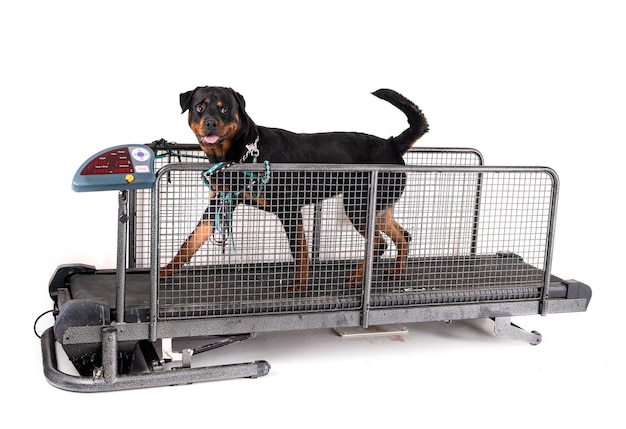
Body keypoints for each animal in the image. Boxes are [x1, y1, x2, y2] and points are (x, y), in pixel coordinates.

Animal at [158, 86, 426, 290]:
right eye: (199, 107)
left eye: (225, 108)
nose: (210, 123)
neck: (243, 153)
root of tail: (392, 144)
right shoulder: (218, 204)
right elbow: (189, 243)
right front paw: (164, 271)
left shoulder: (289, 209)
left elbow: (300, 251)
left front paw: (299, 286)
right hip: (378, 206)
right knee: (403, 236)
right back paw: (397, 272)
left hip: (359, 204)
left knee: (378, 244)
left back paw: (356, 278)